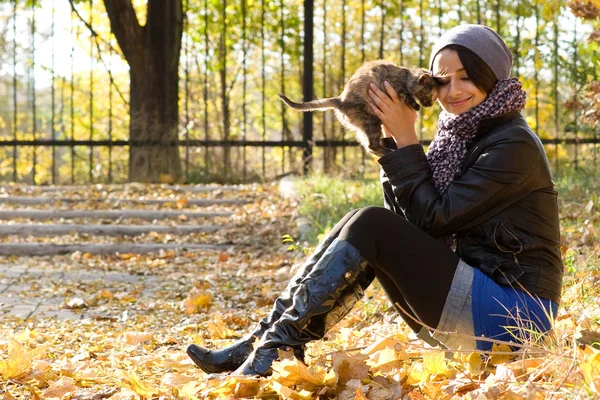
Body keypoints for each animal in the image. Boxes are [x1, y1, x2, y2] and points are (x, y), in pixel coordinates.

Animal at [278, 60, 438, 157]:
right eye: (430, 95)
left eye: (434, 98)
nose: (430, 104)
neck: (406, 76)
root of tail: (341, 99)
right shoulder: (397, 88)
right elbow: (408, 96)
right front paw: (415, 105)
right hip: (371, 121)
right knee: (372, 146)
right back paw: (389, 151)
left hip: (365, 126)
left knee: (369, 147)